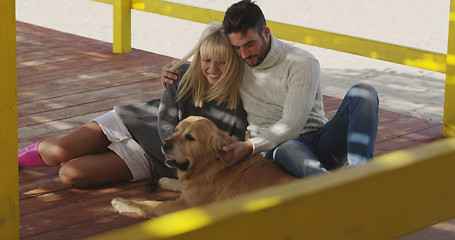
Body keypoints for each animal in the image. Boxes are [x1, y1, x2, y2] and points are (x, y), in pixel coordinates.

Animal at [110, 116, 296, 218]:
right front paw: (167, 181)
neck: (209, 165)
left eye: (190, 137)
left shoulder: (185, 206)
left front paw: (122, 202)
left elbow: (149, 204)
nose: (164, 144)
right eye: (176, 130)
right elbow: (180, 184)